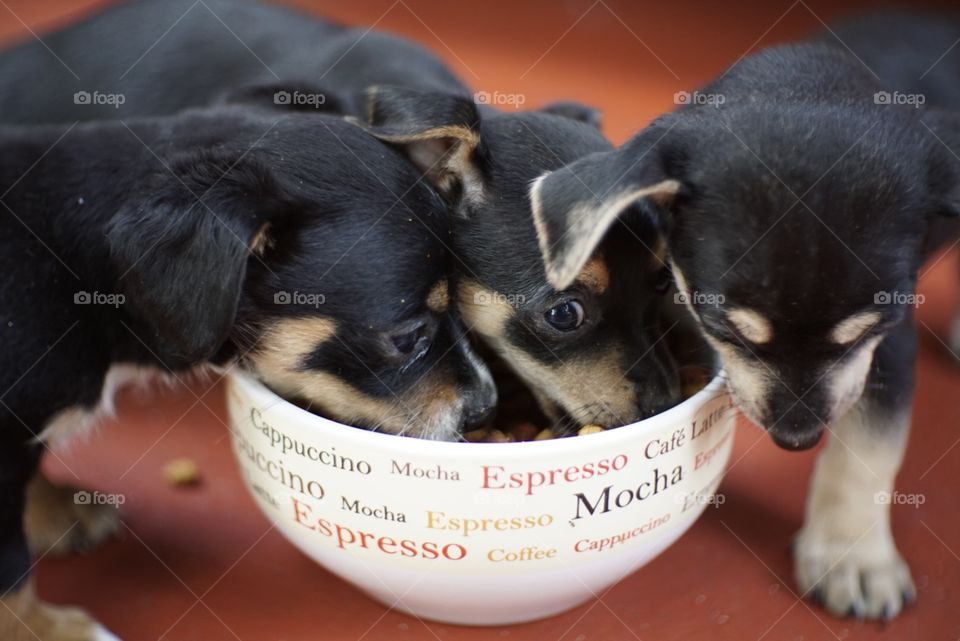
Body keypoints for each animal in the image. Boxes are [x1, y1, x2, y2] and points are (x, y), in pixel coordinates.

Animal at [528, 11, 960, 620]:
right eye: (723, 330)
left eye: (868, 333)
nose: (797, 439)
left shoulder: (889, 348)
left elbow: (869, 451)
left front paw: (852, 557)